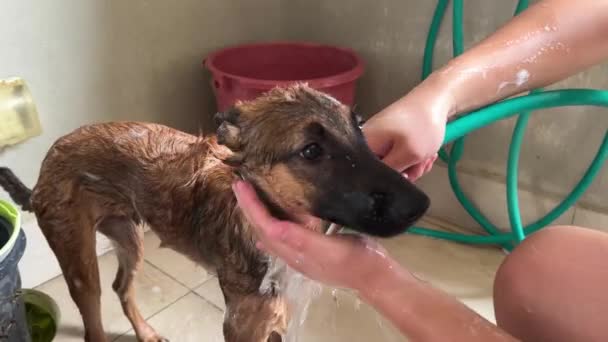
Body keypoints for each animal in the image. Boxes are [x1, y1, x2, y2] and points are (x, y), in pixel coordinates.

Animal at [0, 83, 430, 342]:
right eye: (310, 151)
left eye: (360, 129)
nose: (420, 204)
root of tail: (48, 159)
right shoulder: (242, 324)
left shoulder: (278, 317)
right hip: (78, 259)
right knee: (94, 317)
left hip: (129, 237)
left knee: (122, 287)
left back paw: (146, 332)